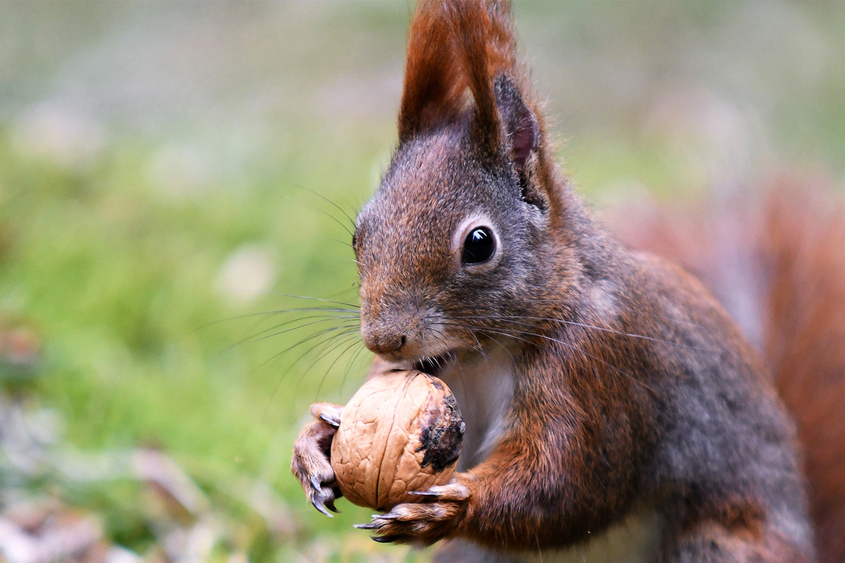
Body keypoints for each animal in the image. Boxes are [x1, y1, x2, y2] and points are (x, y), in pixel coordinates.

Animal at [292, 1, 844, 561]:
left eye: (479, 244)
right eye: (358, 235)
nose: (383, 339)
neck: (482, 355)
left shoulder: (598, 370)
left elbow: (562, 486)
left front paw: (450, 508)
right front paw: (316, 440)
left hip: (716, 542)